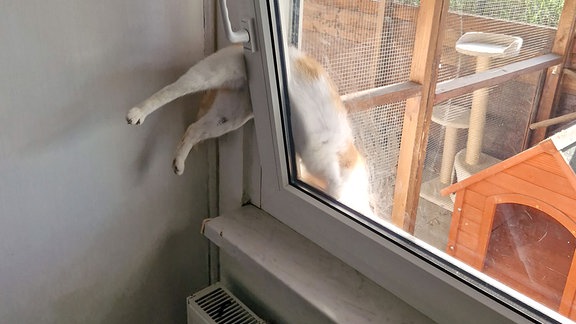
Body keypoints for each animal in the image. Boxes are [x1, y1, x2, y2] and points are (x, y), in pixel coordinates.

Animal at [127, 44, 374, 219]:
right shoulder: (322, 159)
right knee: (168, 91)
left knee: (193, 128)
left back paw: (178, 162)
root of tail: (239, 45)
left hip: (228, 117)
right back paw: (138, 112)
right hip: (208, 75)